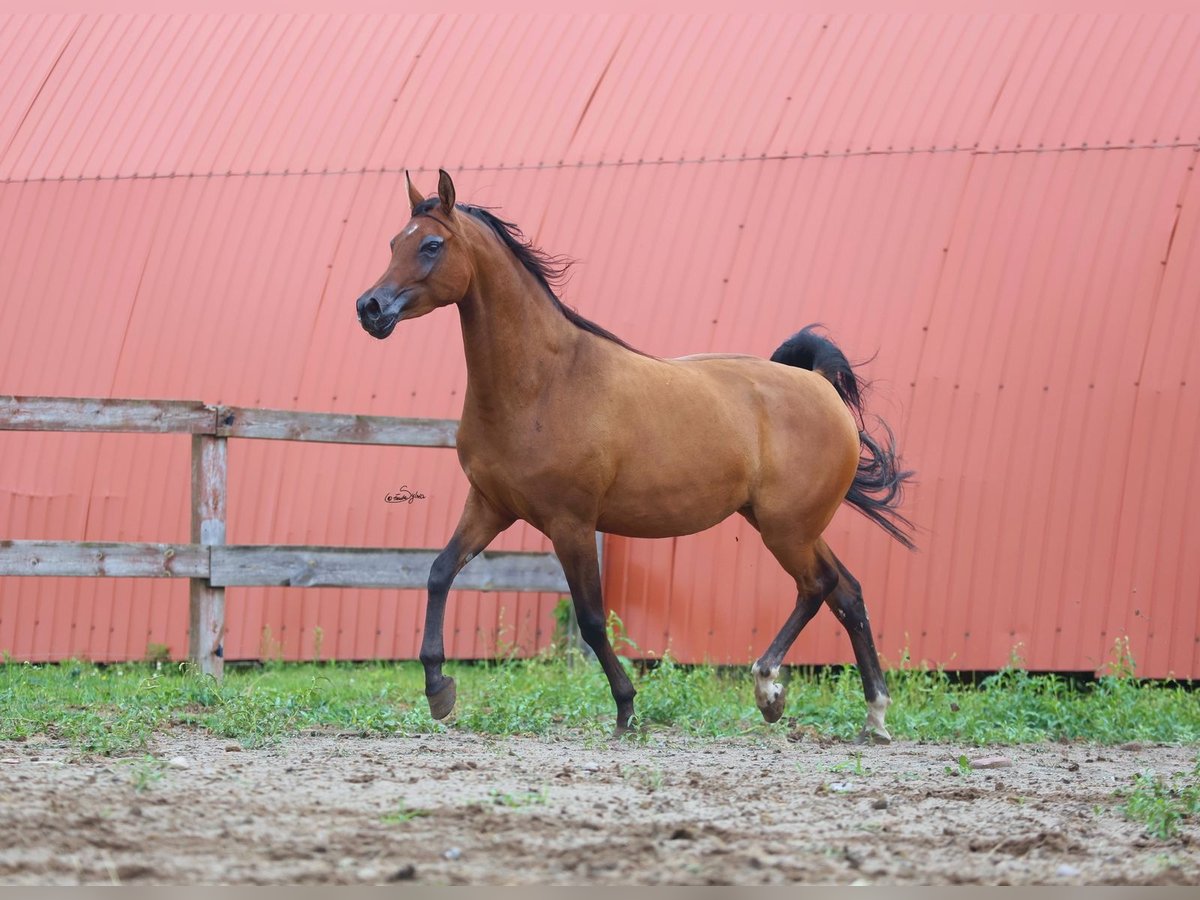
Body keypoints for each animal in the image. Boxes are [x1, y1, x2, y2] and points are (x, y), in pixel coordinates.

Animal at [355, 170, 916, 748]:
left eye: (431, 245)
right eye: (394, 242)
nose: (369, 308)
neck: (542, 382)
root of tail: (820, 386)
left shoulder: (571, 522)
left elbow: (591, 618)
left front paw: (626, 707)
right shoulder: (490, 506)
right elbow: (439, 572)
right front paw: (438, 687)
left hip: (788, 529)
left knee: (819, 587)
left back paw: (773, 689)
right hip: (787, 524)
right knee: (846, 592)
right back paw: (867, 714)